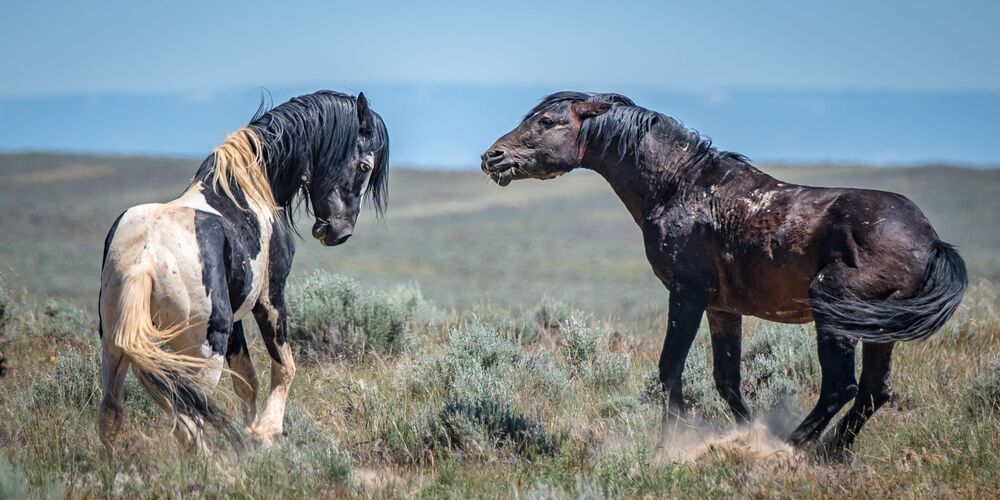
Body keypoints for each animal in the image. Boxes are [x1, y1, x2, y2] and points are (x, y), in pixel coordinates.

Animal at [98, 90, 389, 453]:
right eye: (364, 166)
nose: (340, 232)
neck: (246, 191)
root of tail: (145, 261)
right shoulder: (270, 297)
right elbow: (284, 366)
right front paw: (264, 432)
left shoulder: (237, 316)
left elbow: (246, 379)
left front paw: (250, 440)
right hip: (204, 348)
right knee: (189, 423)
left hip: (114, 345)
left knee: (112, 415)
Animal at [481, 91, 967, 452]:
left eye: (546, 122)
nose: (492, 156)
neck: (681, 187)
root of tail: (930, 240)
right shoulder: (722, 310)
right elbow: (727, 381)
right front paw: (746, 434)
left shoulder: (687, 294)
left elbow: (670, 369)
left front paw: (669, 447)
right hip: (877, 331)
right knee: (872, 391)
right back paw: (832, 454)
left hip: (834, 313)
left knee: (841, 387)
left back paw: (790, 449)